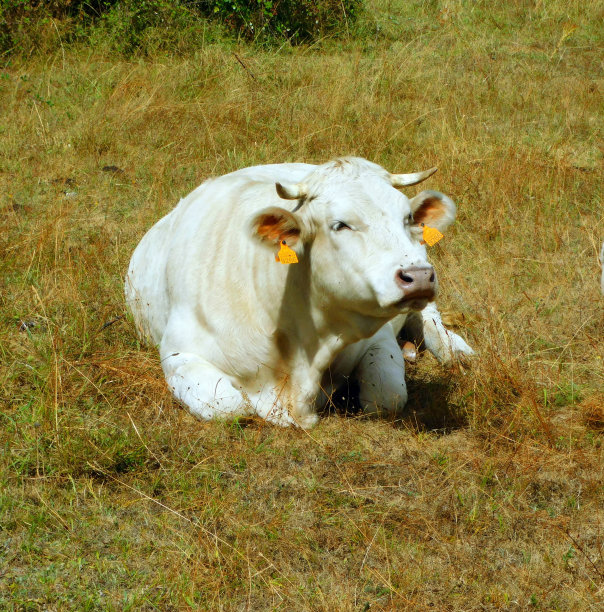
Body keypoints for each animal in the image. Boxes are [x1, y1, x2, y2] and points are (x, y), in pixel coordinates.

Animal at [127, 155, 474, 428]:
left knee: (428, 316)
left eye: (407, 218)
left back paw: (455, 350)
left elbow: (386, 397)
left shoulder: (378, 338)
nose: (418, 277)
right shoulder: (180, 354)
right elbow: (229, 406)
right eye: (340, 224)